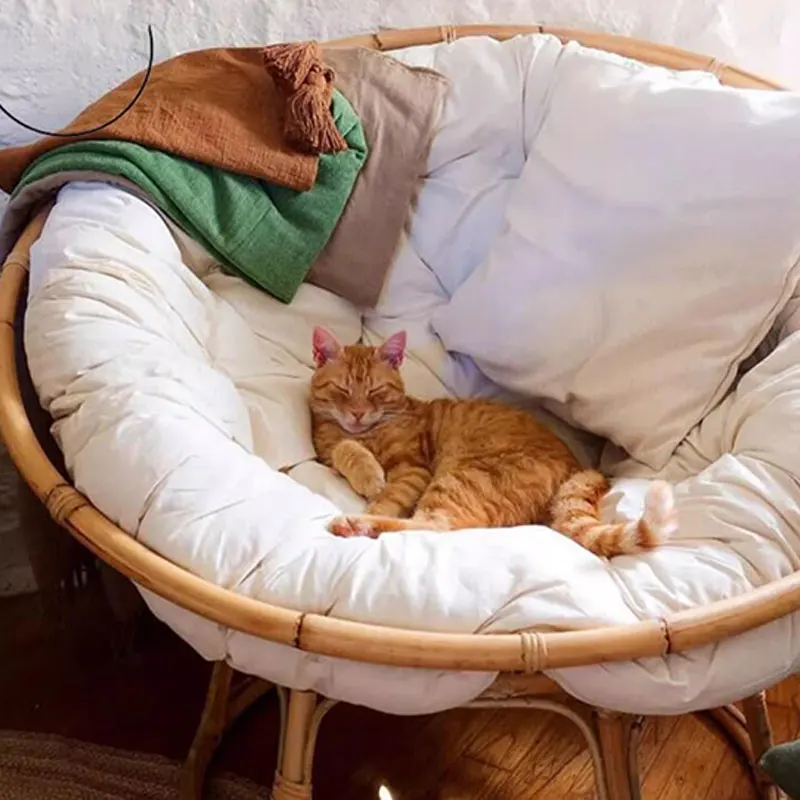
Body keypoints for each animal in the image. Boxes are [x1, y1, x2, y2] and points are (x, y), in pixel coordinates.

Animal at [308, 324, 676, 556]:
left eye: (375, 391)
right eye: (343, 391)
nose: (357, 413)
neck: (369, 431)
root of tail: (576, 465)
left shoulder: (413, 468)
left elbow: (390, 497)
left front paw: (373, 491)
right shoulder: (328, 448)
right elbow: (344, 448)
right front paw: (366, 470)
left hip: (460, 476)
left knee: (432, 525)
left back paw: (354, 523)